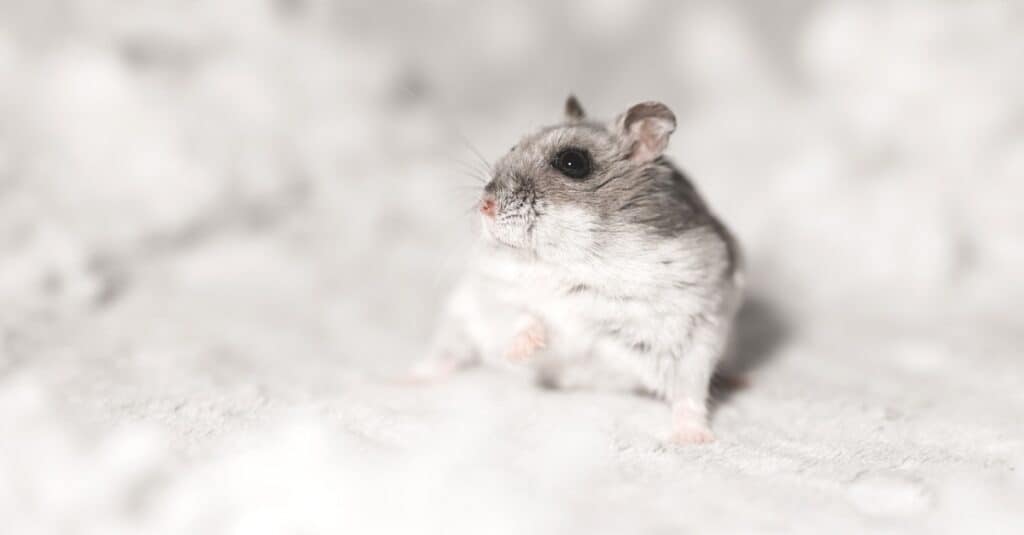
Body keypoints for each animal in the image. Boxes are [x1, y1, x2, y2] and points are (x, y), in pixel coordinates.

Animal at [415, 95, 745, 440]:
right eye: (513, 146)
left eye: (572, 162)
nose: (485, 206)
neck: (575, 258)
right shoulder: (497, 289)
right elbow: (527, 314)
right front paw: (520, 352)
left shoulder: (694, 328)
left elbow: (689, 393)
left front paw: (693, 440)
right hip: (458, 316)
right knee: (446, 353)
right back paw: (410, 379)